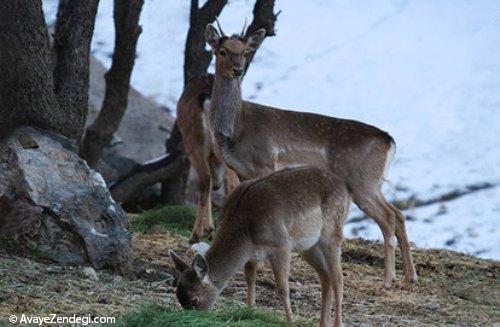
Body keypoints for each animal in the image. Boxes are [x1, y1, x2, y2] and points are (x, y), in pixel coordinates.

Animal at [170, 167, 350, 327]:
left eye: (195, 299)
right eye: (179, 298)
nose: (192, 318)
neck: (246, 234)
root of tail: (345, 188)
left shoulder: (282, 244)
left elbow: (282, 287)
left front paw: (290, 321)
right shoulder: (252, 255)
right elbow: (250, 280)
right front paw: (250, 312)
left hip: (332, 231)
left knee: (338, 277)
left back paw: (337, 323)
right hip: (308, 246)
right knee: (325, 275)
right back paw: (322, 323)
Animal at [201, 20, 416, 288]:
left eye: (245, 51)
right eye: (222, 51)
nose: (238, 70)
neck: (236, 130)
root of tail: (389, 141)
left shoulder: (265, 162)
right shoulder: (242, 171)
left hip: (362, 181)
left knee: (387, 218)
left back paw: (388, 280)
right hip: (373, 183)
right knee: (398, 214)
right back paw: (410, 275)